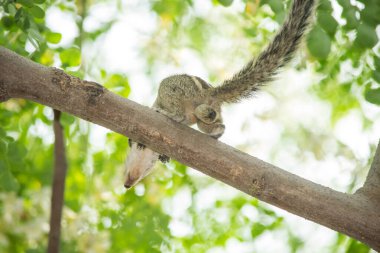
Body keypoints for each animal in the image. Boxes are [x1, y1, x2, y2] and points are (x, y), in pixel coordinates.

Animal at [124, 0, 314, 188]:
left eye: (148, 169)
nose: (127, 184)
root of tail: (210, 91)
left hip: (175, 90)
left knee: (178, 110)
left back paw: (169, 114)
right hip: (207, 116)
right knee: (214, 120)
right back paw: (215, 131)